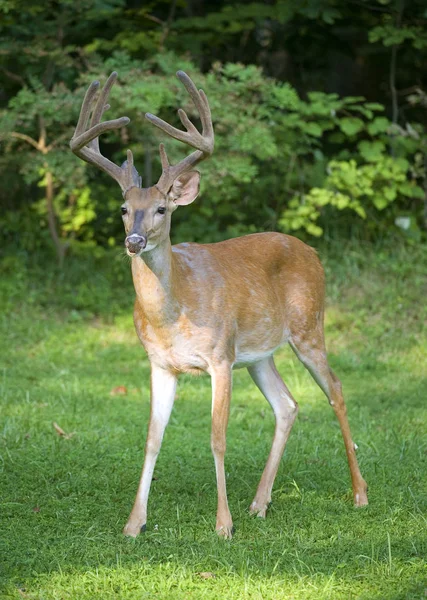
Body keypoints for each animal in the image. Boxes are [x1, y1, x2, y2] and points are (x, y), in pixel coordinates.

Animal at [70, 70, 368, 540]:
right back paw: (260, 503)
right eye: (123, 208)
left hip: (308, 326)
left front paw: (223, 525)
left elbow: (217, 437)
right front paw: (134, 523)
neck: (174, 312)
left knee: (335, 390)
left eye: (161, 208)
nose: (134, 241)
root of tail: (314, 252)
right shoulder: (160, 363)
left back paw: (359, 493)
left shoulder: (219, 357)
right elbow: (152, 438)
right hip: (259, 353)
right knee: (287, 405)